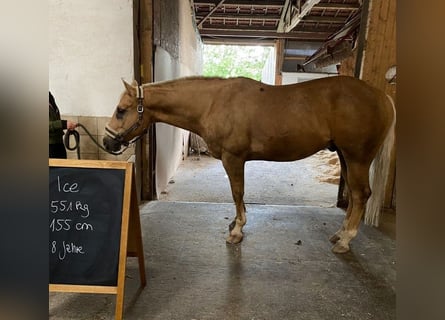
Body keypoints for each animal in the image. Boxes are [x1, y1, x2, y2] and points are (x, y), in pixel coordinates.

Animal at [102, 76, 394, 254]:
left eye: (121, 110)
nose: (107, 142)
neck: (213, 103)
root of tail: (381, 96)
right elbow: (238, 195)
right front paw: (235, 224)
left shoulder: (234, 158)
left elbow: (237, 193)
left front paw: (237, 230)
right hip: (345, 156)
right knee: (354, 196)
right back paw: (339, 233)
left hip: (357, 157)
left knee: (360, 194)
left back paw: (345, 240)